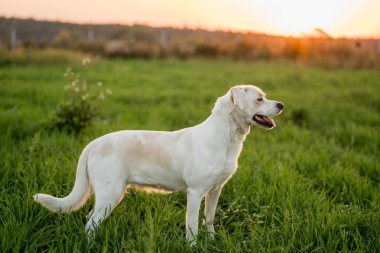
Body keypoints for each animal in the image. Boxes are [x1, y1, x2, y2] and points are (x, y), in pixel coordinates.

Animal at [33, 84, 282, 243]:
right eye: (259, 99)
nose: (281, 105)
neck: (225, 135)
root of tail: (93, 143)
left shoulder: (215, 190)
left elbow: (209, 219)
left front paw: (212, 243)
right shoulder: (195, 192)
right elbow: (192, 226)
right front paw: (193, 246)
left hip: (109, 195)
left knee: (89, 220)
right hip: (110, 194)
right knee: (90, 224)